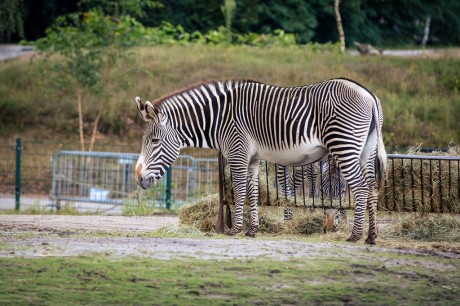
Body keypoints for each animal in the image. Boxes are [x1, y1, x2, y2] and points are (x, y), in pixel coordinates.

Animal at [134, 78, 388, 244]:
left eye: (154, 141)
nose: (138, 178)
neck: (219, 118)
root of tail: (369, 94)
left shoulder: (237, 153)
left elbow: (239, 191)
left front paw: (235, 229)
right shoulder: (253, 159)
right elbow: (253, 192)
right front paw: (252, 230)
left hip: (343, 144)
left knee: (360, 187)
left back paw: (355, 235)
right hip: (366, 148)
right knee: (372, 186)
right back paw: (371, 236)